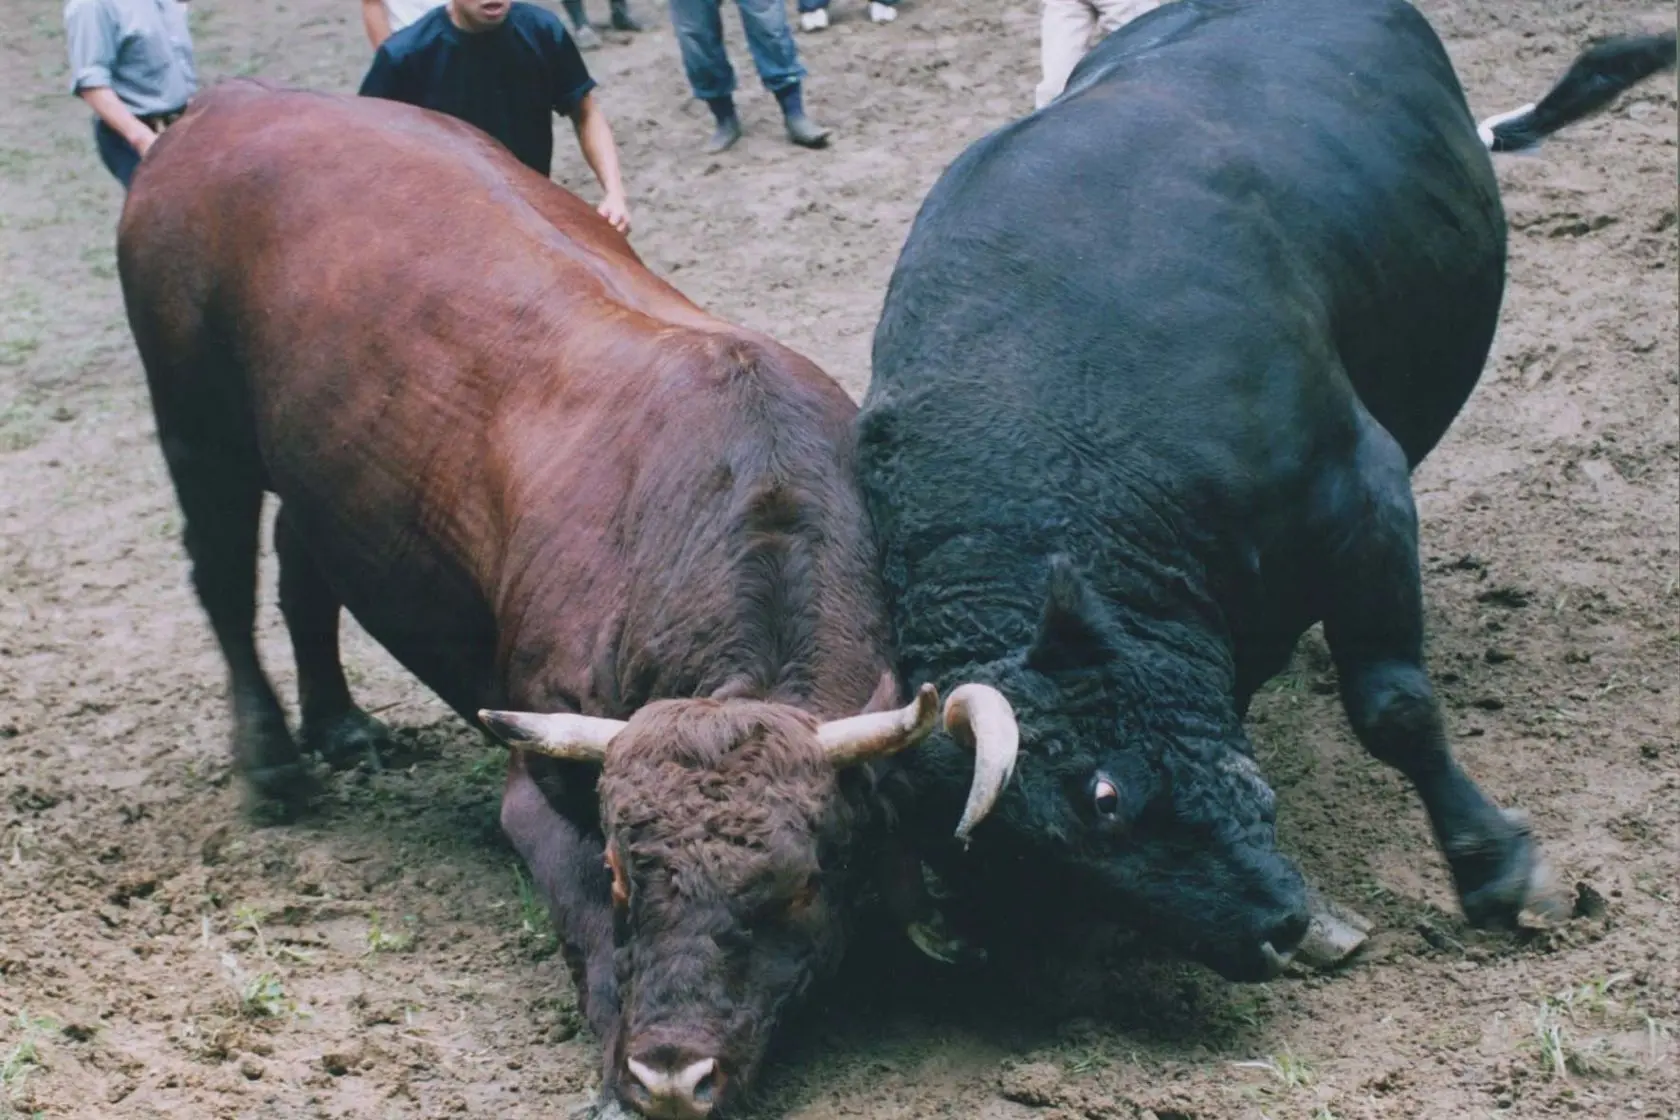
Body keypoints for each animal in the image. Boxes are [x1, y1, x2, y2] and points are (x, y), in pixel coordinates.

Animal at [117, 81, 1017, 1119]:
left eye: (798, 884)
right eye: (624, 871)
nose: (672, 1073)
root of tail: (226, 103)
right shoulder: (537, 785)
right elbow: (580, 915)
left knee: (303, 569)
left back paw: (341, 726)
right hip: (196, 426)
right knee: (224, 579)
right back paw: (271, 765)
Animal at [855, 0, 1675, 983]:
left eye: (1104, 793)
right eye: (1026, 871)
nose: (1267, 933)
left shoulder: (1363, 494)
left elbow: (1394, 705)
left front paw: (1500, 873)